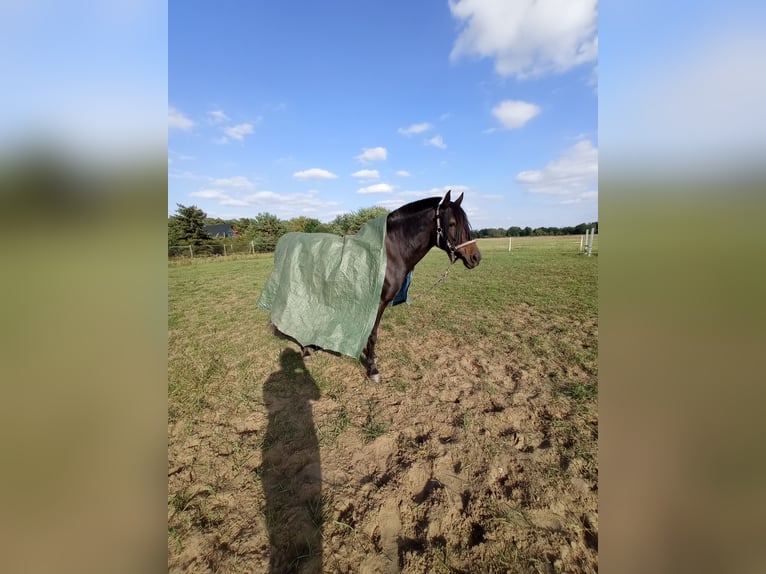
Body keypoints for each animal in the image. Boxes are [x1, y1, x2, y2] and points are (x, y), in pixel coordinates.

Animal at [304, 191, 484, 384]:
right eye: (451, 224)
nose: (475, 257)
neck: (390, 253)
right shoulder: (378, 302)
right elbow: (373, 334)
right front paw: (372, 369)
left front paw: (372, 357)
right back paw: (306, 350)